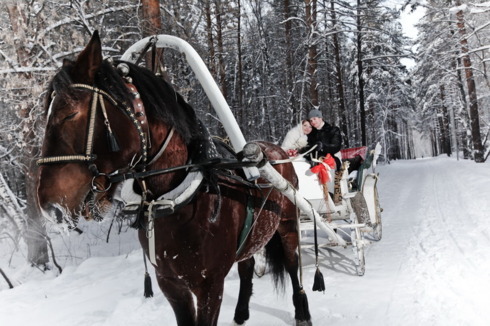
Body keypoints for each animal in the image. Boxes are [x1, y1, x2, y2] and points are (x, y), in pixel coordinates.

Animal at [36, 31, 312, 326]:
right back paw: (240, 313)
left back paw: (302, 311)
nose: (50, 207)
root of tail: (276, 150)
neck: (178, 200)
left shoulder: (209, 286)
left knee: (293, 267)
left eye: (69, 113)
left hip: (288, 227)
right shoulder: (170, 283)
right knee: (247, 267)